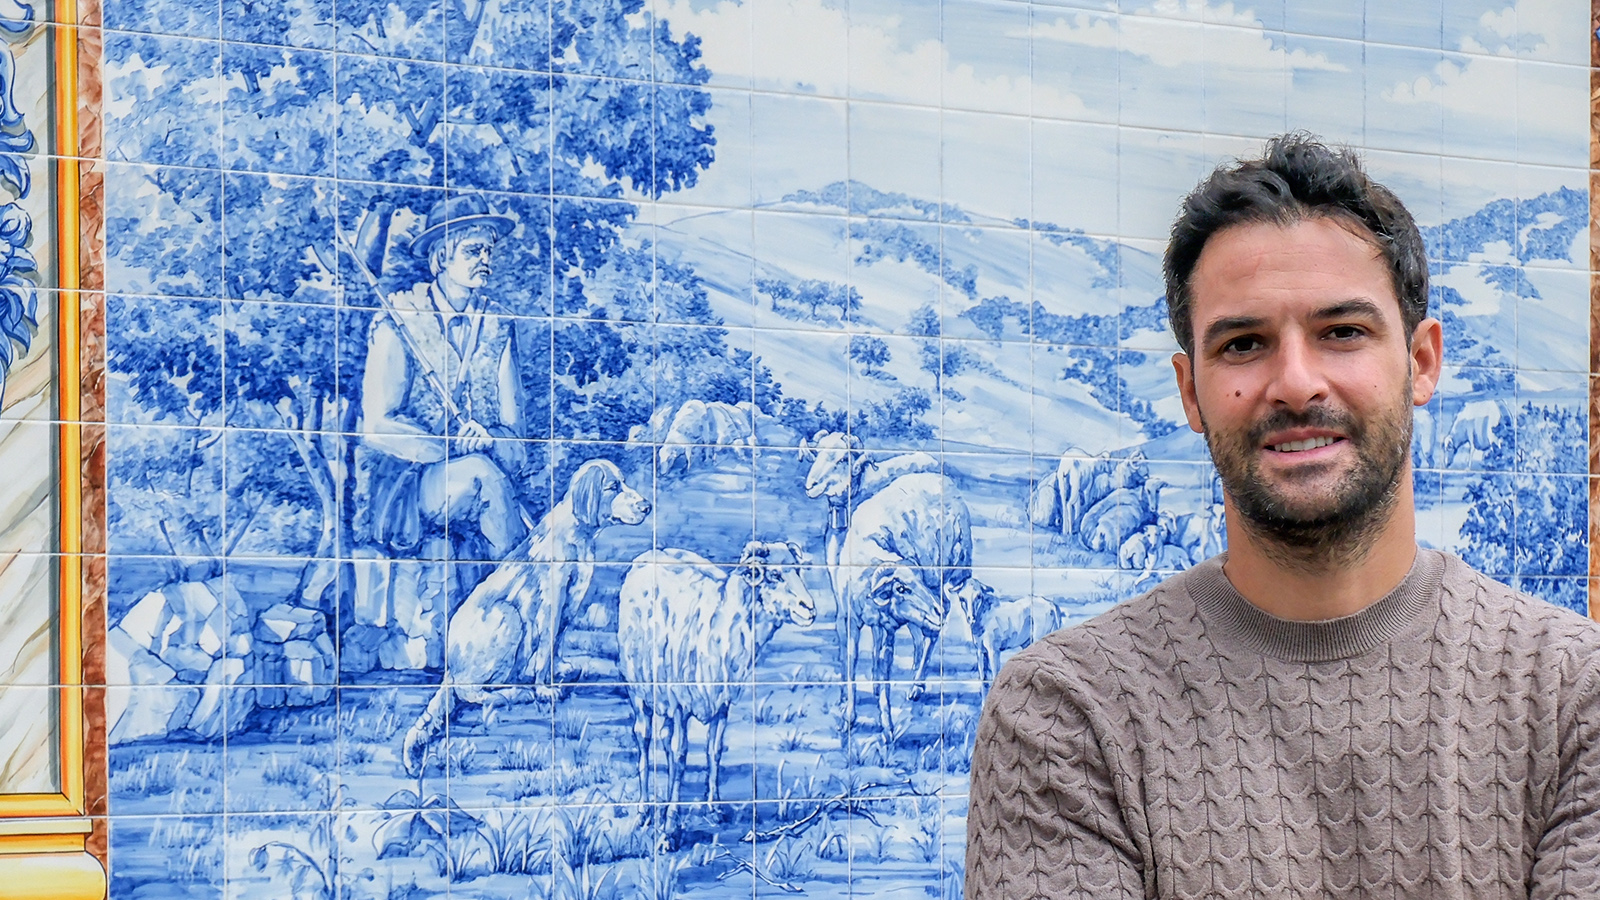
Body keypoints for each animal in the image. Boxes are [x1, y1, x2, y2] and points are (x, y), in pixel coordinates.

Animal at [617, 541, 816, 839]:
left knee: (664, 738)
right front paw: (671, 827)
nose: (810, 609)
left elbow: (715, 750)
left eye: (798, 570)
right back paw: (643, 811)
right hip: (639, 690)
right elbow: (681, 754)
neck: (724, 620)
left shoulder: (721, 702)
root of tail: (653, 552)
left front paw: (713, 808)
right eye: (775, 575)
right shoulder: (681, 702)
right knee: (643, 738)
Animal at [836, 471, 971, 738]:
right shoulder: (853, 620)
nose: (937, 611)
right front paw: (850, 714)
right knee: (921, 635)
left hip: (941, 576)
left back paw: (916, 685)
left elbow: (885, 666)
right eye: (901, 588)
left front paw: (887, 726)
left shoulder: (888, 629)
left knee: (932, 632)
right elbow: (853, 660)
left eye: (917, 581)